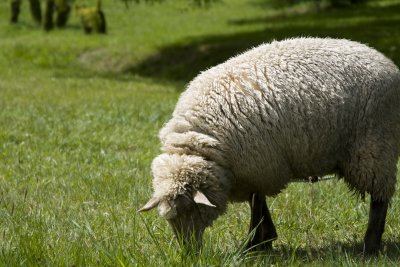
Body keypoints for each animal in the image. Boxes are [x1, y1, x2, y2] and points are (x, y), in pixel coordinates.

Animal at [140, 37, 400, 255]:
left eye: (189, 209)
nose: (189, 254)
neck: (205, 144)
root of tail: (387, 62)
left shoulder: (259, 166)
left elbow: (257, 206)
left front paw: (254, 245)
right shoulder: (250, 172)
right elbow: (259, 203)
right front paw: (264, 241)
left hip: (375, 146)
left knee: (380, 200)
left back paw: (370, 246)